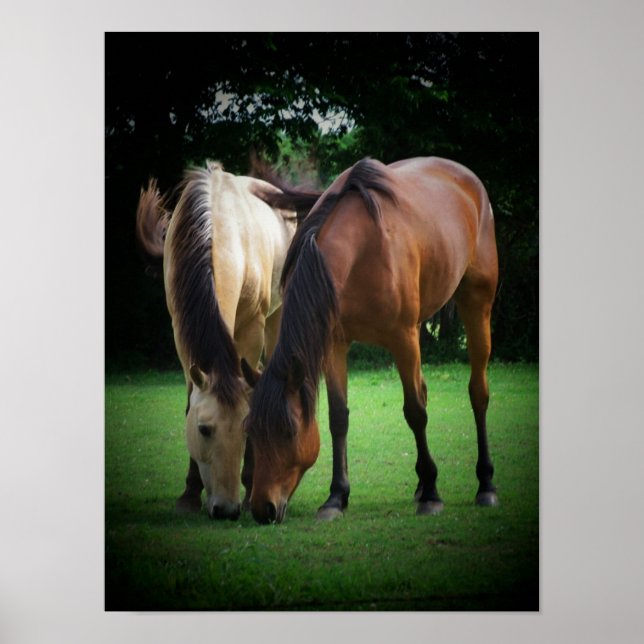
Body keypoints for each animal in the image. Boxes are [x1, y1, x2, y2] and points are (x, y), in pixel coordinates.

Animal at [136, 161, 315, 519]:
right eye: (204, 429)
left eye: (246, 431)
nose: (226, 509)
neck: (218, 232)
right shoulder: (179, 330)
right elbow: (190, 399)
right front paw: (190, 493)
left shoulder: (252, 327)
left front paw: (248, 490)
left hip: (275, 319)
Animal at [241, 156, 499, 524]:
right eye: (250, 431)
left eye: (288, 432)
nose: (263, 509)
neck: (362, 251)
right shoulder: (334, 344)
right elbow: (338, 417)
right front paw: (336, 497)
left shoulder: (403, 338)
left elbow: (415, 412)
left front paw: (432, 496)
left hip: (477, 304)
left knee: (478, 392)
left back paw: (485, 484)